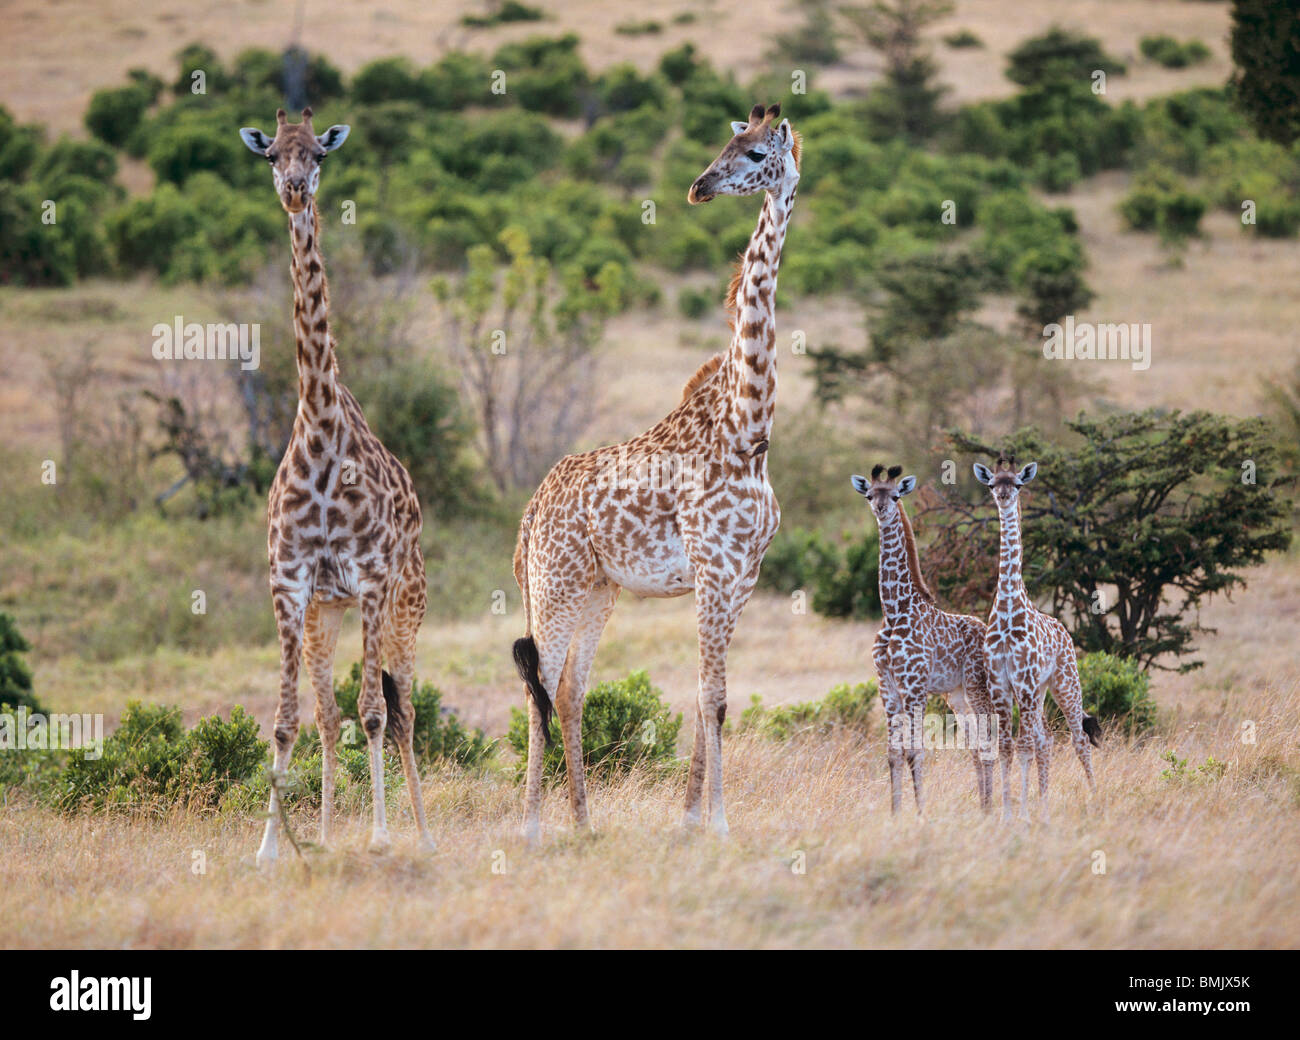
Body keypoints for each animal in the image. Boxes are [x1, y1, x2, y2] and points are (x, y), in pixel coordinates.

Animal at [239, 108, 433, 863]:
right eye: (271, 155)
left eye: (318, 154)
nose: (295, 191)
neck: (320, 430)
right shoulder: (291, 586)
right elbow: (288, 719)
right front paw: (271, 848)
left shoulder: (373, 582)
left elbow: (375, 713)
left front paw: (380, 837)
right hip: (328, 614)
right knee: (326, 715)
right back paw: (320, 834)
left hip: (407, 605)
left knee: (405, 710)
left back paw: (421, 833)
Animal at [511, 103, 800, 842]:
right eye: (726, 143)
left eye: (754, 152)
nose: (699, 187)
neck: (747, 431)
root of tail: (529, 513)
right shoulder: (713, 569)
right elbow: (716, 698)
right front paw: (717, 824)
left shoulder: (743, 578)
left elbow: (705, 697)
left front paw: (692, 820)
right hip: (553, 586)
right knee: (536, 687)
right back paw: (529, 829)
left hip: (598, 590)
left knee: (568, 690)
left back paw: (584, 823)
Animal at [851, 465, 1004, 814]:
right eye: (869, 495)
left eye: (895, 495)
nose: (880, 510)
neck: (895, 610)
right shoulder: (888, 688)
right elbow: (893, 754)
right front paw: (895, 814)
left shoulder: (915, 687)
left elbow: (915, 751)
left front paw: (920, 813)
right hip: (956, 695)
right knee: (974, 745)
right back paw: (983, 807)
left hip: (977, 687)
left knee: (989, 741)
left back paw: (990, 808)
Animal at [973, 454, 1101, 822]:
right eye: (992, 483)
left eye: (1017, 483)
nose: (1002, 496)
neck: (1007, 610)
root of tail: (1065, 631)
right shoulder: (1001, 685)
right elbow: (1006, 747)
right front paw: (1007, 813)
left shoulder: (1025, 683)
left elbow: (1024, 745)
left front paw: (1023, 815)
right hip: (1042, 692)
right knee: (1047, 741)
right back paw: (1044, 806)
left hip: (1065, 683)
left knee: (1077, 739)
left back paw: (1095, 799)